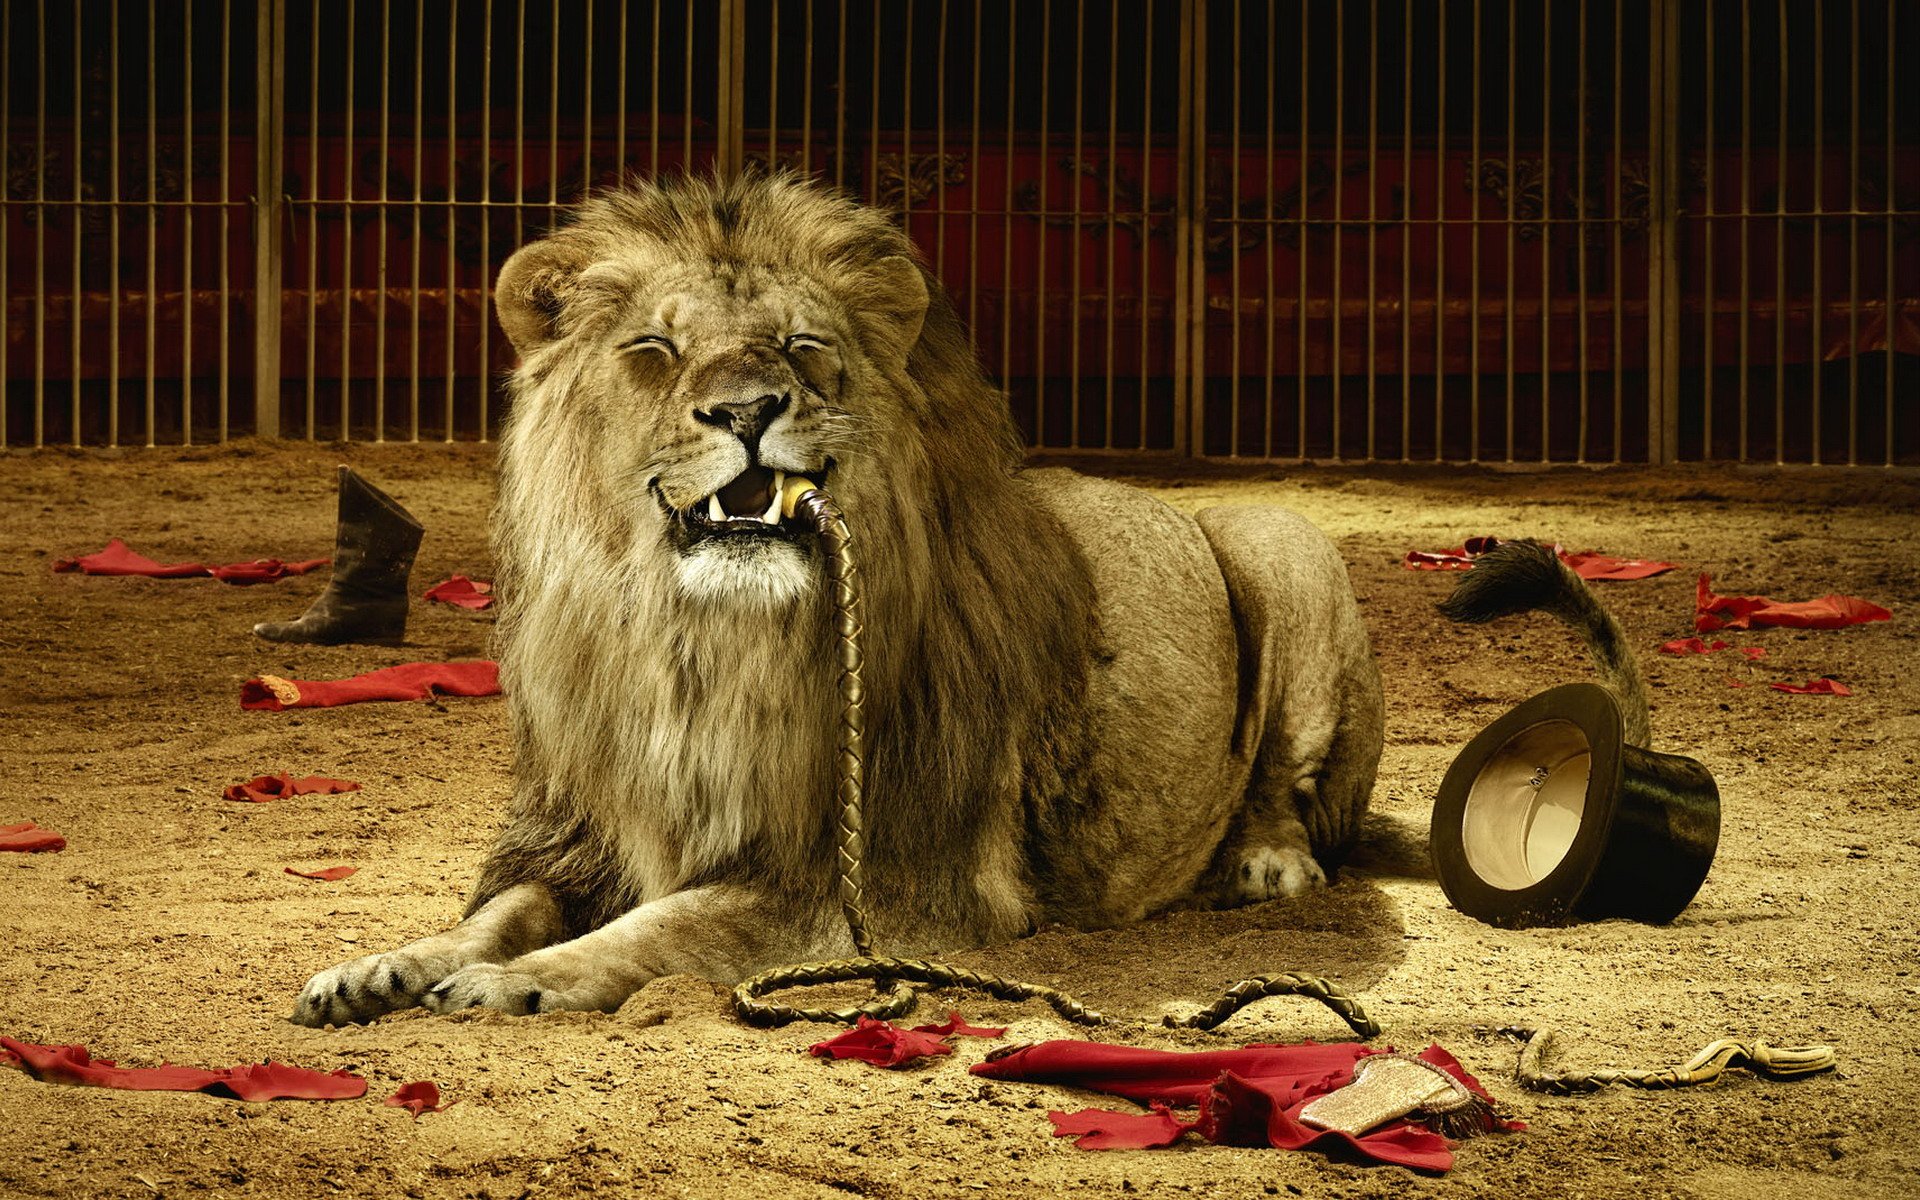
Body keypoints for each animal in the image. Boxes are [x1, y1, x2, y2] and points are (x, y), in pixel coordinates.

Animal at [290, 173, 1383, 1026]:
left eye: (802, 344)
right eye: (654, 350)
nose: (745, 410)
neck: (697, 647)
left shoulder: (891, 882)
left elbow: (669, 926)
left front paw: (518, 981)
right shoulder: (581, 834)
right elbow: (497, 912)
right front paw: (384, 966)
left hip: (1279, 541)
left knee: (1286, 779)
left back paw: (1268, 865)